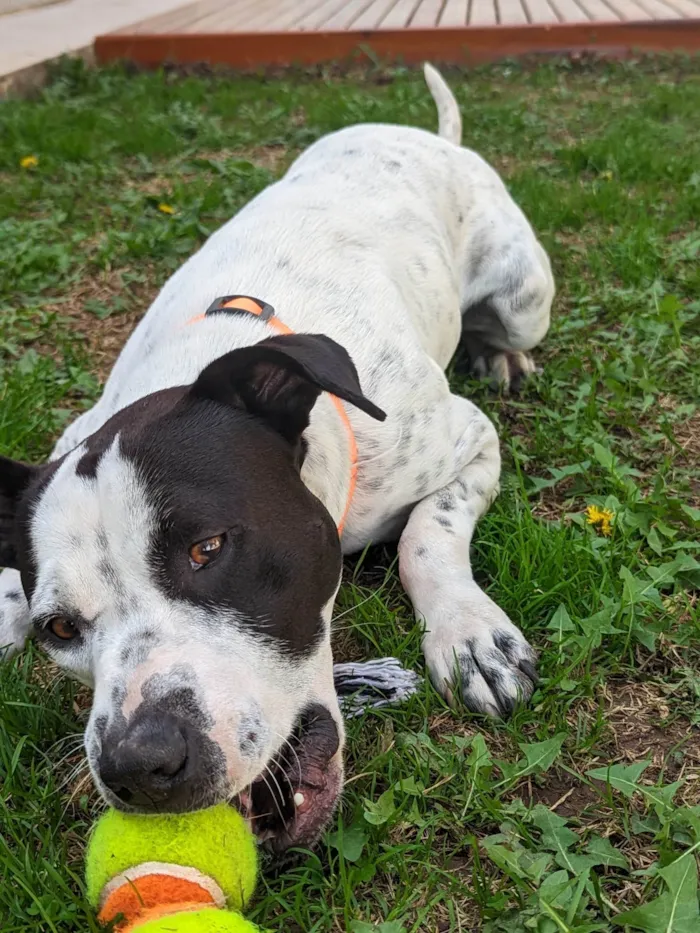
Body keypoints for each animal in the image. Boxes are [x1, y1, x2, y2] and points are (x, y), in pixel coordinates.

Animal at [1, 65, 552, 852]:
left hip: (522, 295)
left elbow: (426, 534)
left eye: (208, 548)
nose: (138, 764)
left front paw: (469, 633)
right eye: (61, 629)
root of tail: (430, 137)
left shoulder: (470, 441)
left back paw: (498, 352)